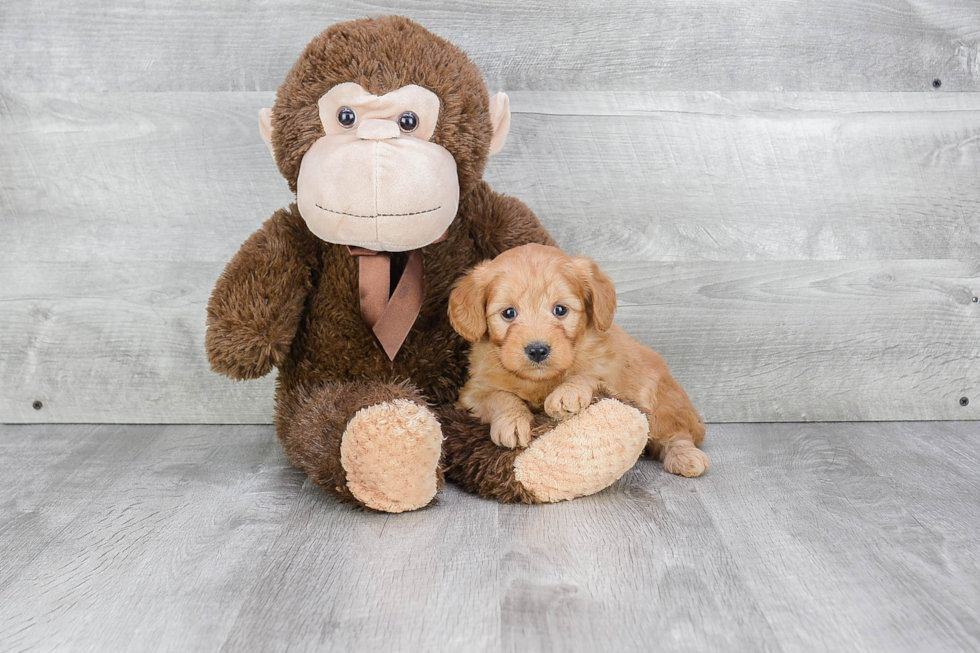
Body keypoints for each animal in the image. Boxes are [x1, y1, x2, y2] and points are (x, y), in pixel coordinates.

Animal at [448, 242, 708, 476]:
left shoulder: (610, 375)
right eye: (508, 313)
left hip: (661, 405)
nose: (537, 350)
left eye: (560, 310)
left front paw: (566, 394)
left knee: (676, 435)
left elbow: (587, 375)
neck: (540, 380)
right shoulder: (472, 392)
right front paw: (512, 422)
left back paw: (686, 458)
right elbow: (499, 396)